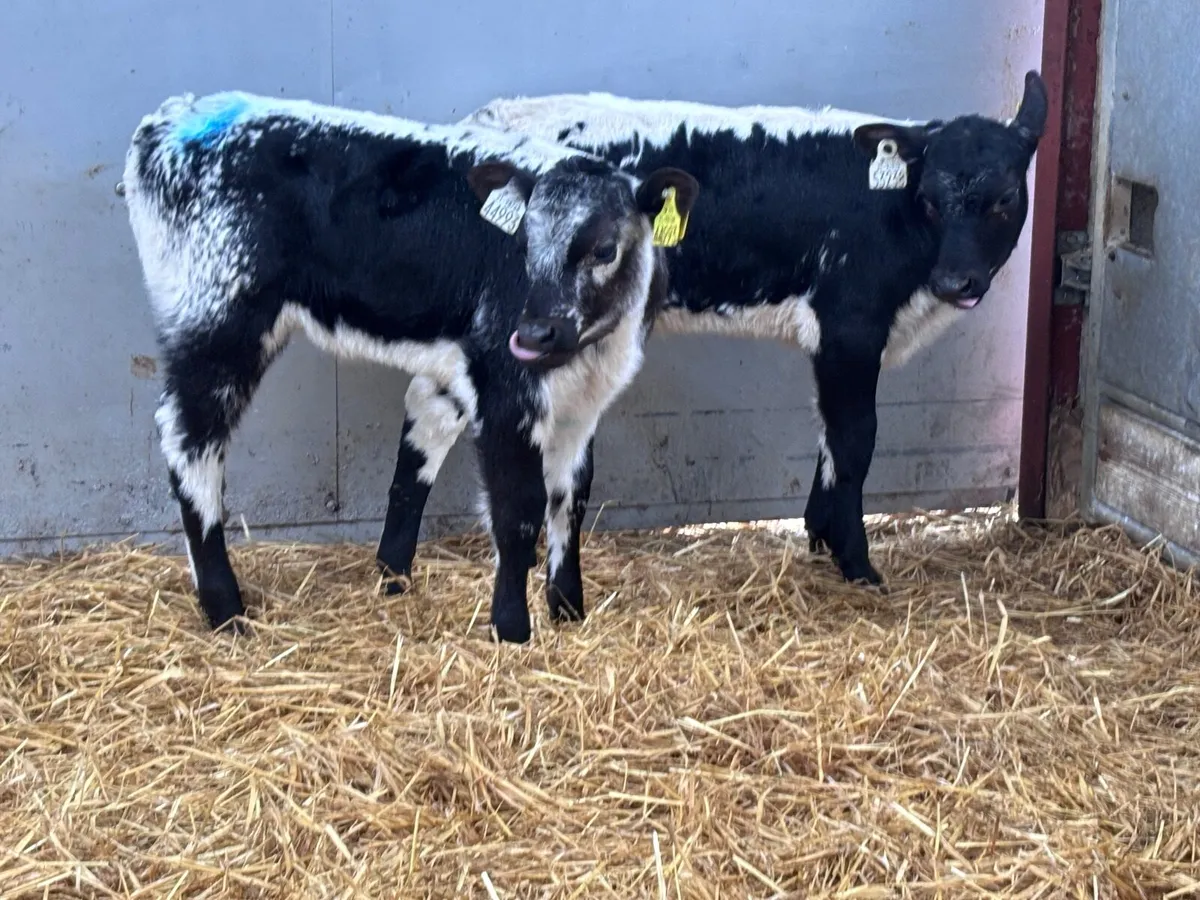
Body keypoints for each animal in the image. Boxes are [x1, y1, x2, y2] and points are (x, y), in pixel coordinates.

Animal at [120, 90, 699, 643]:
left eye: (605, 248)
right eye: (522, 244)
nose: (535, 334)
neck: (593, 348)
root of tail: (172, 118)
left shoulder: (581, 405)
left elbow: (568, 501)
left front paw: (569, 611)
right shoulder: (504, 388)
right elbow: (518, 509)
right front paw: (512, 630)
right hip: (218, 322)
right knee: (191, 441)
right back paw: (225, 608)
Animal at [371, 71, 1046, 589]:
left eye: (1005, 199)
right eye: (929, 198)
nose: (958, 281)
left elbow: (829, 438)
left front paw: (821, 535)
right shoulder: (849, 327)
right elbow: (855, 440)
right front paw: (856, 563)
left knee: (428, 409)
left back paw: (394, 569)